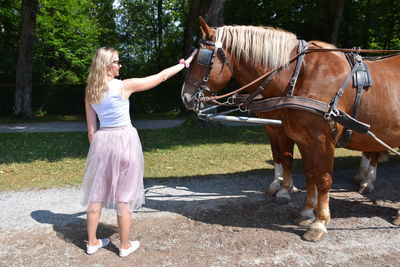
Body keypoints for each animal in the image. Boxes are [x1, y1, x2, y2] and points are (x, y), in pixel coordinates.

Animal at [182, 17, 400, 242]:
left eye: (203, 59)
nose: (186, 97)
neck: (300, 75)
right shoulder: (301, 138)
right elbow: (308, 173)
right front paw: (306, 211)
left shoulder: (321, 140)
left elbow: (321, 177)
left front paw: (319, 222)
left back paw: (370, 185)